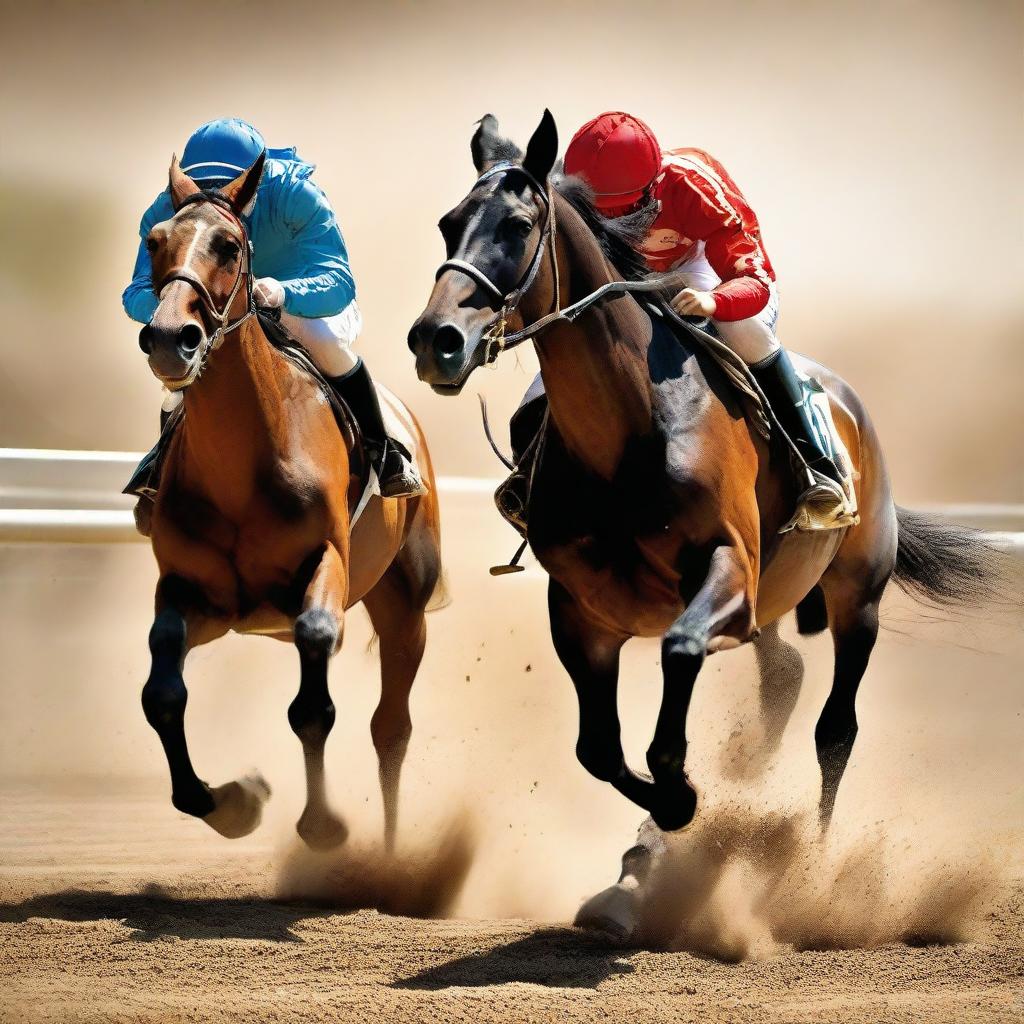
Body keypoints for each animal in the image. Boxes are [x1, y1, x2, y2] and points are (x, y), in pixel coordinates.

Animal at [135, 151, 440, 851]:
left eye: (229, 245)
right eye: (155, 241)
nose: (169, 337)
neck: (241, 467)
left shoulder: (324, 563)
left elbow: (313, 700)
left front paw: (322, 824)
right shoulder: (198, 595)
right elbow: (161, 692)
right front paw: (228, 801)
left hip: (406, 605)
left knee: (392, 728)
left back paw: (391, 854)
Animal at [403, 112, 1003, 929]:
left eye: (518, 225)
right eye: (448, 223)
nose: (437, 340)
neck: (628, 430)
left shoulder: (728, 571)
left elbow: (679, 658)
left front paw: (682, 800)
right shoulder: (584, 612)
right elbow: (597, 747)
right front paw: (658, 832)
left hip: (857, 594)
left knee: (836, 729)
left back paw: (809, 871)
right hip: (776, 596)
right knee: (783, 678)